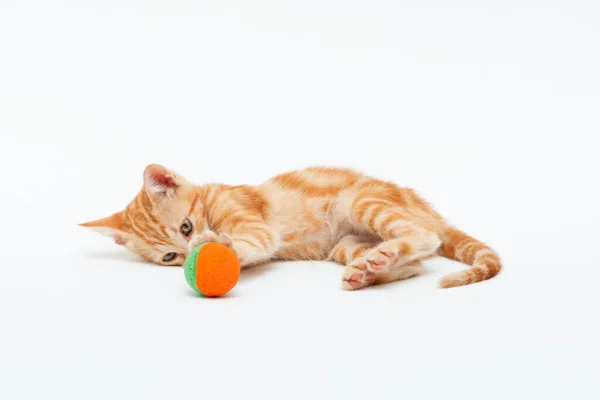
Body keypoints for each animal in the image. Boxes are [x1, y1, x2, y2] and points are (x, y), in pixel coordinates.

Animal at [81, 164, 502, 290]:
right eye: (170, 257)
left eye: (185, 227)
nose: (187, 254)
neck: (210, 197)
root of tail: (427, 208)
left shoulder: (251, 220)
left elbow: (253, 239)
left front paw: (221, 246)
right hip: (345, 244)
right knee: (416, 264)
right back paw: (370, 268)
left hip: (360, 201)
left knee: (426, 238)